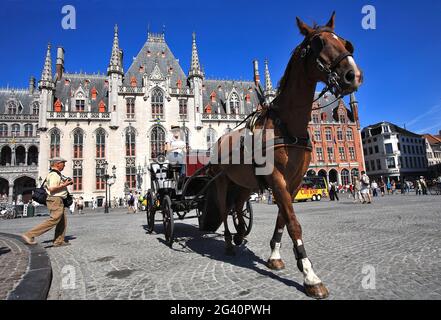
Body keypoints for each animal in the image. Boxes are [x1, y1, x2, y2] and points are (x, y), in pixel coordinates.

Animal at [208, 11, 362, 298]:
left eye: (346, 42)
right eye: (318, 43)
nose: (353, 75)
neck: (288, 124)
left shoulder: (293, 181)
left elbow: (283, 217)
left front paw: (275, 255)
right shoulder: (277, 179)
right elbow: (293, 221)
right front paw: (310, 276)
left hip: (243, 184)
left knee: (238, 208)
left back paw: (240, 235)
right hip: (222, 181)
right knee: (224, 210)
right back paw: (230, 243)